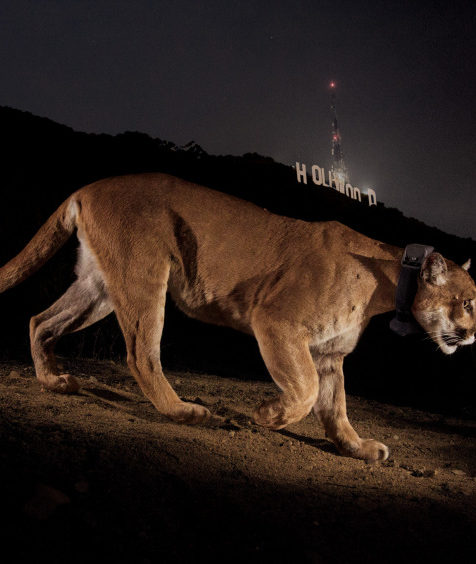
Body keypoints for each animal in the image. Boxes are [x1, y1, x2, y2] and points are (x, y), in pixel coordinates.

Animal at [0, 174, 476, 460]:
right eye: (469, 302)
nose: (472, 335)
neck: (387, 280)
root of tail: (90, 186)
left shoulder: (329, 354)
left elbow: (335, 406)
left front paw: (357, 447)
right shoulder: (277, 322)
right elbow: (305, 391)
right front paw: (268, 415)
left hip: (99, 286)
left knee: (40, 321)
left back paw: (54, 381)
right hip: (144, 275)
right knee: (140, 353)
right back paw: (184, 412)